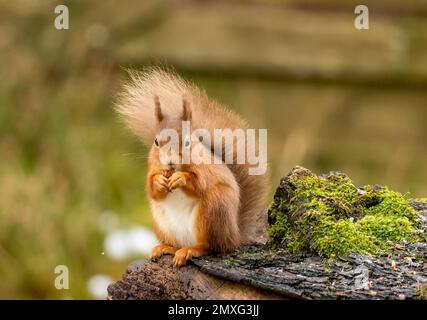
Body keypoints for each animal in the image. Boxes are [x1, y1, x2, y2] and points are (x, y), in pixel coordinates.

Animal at [115, 69, 266, 266]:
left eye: (187, 142)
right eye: (156, 141)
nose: (170, 162)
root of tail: (234, 236)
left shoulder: (206, 170)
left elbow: (199, 184)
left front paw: (181, 178)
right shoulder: (152, 168)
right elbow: (151, 189)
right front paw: (159, 181)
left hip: (213, 211)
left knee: (211, 246)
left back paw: (190, 251)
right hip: (163, 224)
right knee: (179, 244)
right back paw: (166, 248)